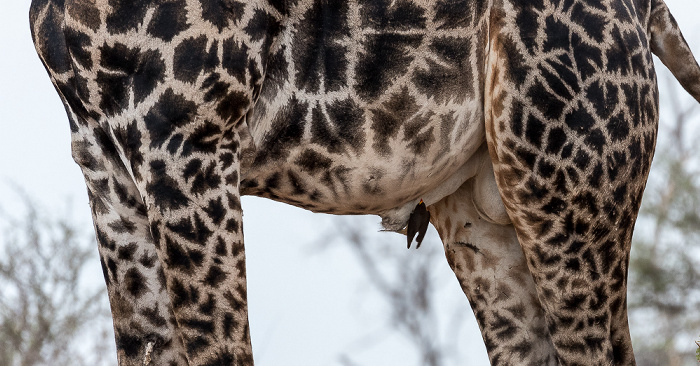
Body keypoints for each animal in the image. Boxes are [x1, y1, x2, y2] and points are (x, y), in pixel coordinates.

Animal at [27, 0, 700, 364]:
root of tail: (645, 10)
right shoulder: (105, 162)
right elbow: (144, 346)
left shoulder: (187, 140)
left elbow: (220, 348)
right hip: (489, 215)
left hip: (565, 175)